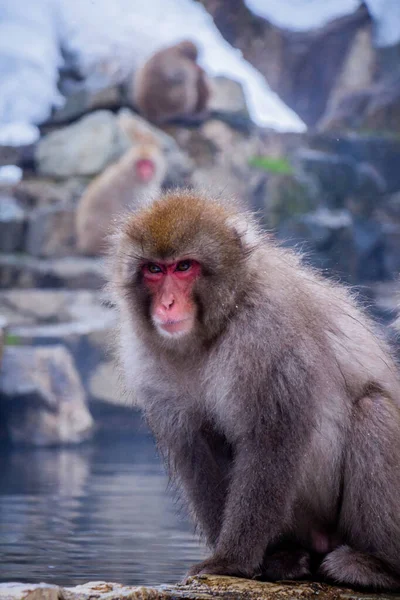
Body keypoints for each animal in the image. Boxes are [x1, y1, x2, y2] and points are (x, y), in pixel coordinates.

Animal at [108, 190, 400, 588]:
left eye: (184, 267)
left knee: (374, 409)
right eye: (154, 270)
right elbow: (196, 449)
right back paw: (285, 557)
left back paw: (377, 565)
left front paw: (230, 561)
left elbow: (271, 439)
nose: (167, 304)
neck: (215, 328)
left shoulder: (267, 333)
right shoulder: (147, 357)